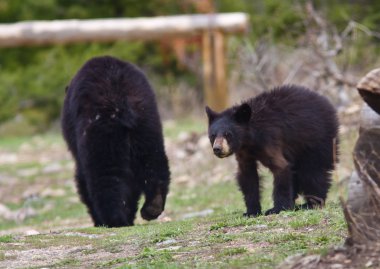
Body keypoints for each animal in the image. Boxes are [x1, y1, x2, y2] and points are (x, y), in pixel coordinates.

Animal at [62, 56, 169, 226]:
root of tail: (120, 99)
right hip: (147, 122)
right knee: (153, 160)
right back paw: (152, 207)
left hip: (102, 129)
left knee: (105, 174)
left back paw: (113, 218)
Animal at [206, 85, 340, 216]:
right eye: (213, 135)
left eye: (228, 134)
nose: (217, 149)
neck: (249, 140)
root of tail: (327, 103)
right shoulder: (244, 153)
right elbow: (248, 175)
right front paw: (251, 211)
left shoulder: (269, 140)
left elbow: (281, 167)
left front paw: (277, 209)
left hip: (316, 139)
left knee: (313, 171)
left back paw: (311, 203)